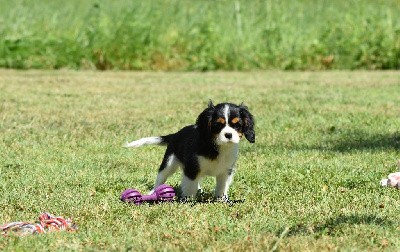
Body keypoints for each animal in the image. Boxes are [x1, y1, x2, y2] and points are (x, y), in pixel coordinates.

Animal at [125, 101, 255, 200]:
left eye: (237, 125)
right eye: (218, 125)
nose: (228, 135)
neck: (218, 146)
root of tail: (175, 134)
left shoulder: (225, 171)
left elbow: (221, 187)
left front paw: (222, 200)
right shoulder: (191, 169)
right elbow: (190, 186)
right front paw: (189, 201)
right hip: (169, 164)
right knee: (161, 178)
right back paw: (152, 192)